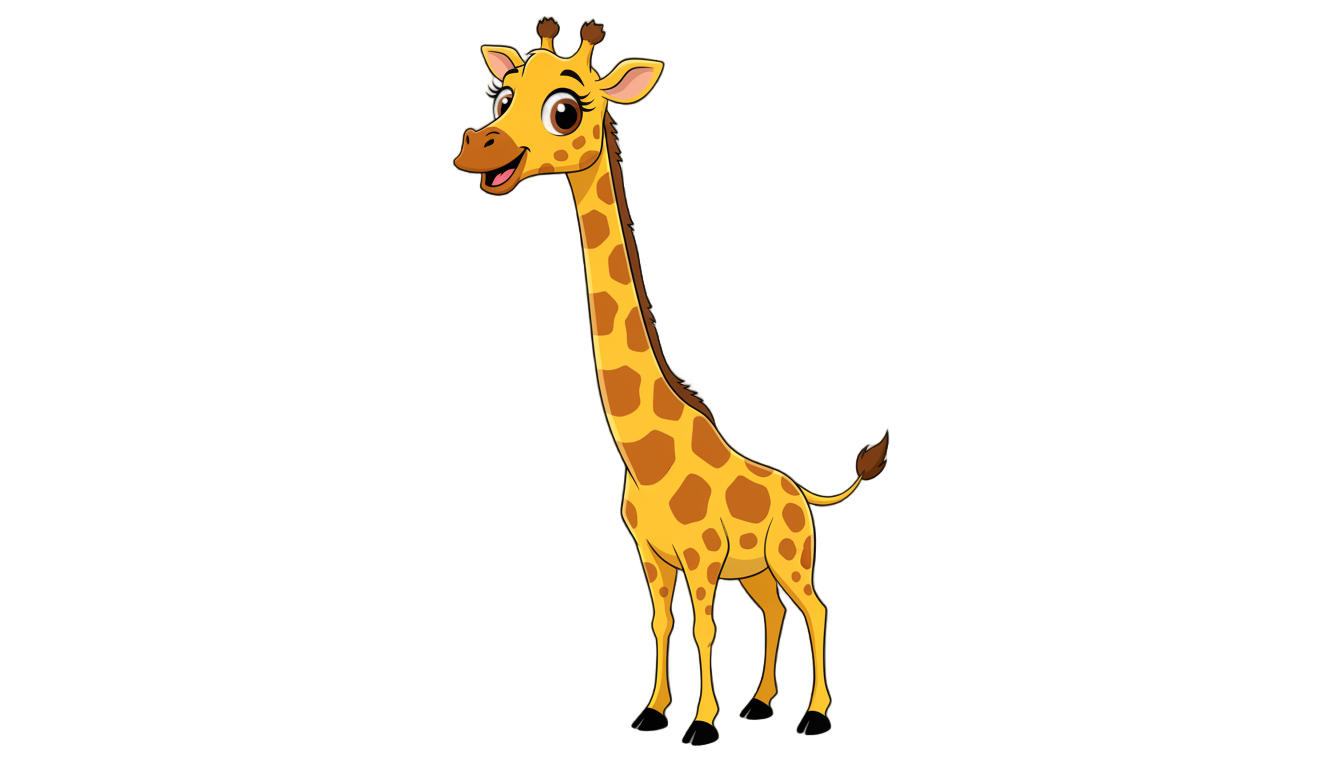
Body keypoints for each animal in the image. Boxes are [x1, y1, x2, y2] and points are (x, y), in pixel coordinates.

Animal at [453, 18, 895, 747]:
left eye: (565, 110)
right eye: (503, 95)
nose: (476, 146)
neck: (646, 458)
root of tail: (801, 490)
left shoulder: (702, 556)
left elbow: (707, 626)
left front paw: (703, 726)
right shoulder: (654, 556)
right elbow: (663, 622)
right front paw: (656, 712)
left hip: (791, 555)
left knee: (817, 609)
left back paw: (813, 717)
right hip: (758, 569)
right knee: (774, 612)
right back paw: (760, 706)